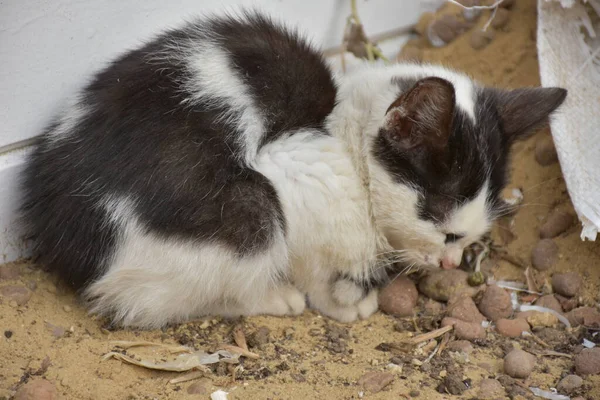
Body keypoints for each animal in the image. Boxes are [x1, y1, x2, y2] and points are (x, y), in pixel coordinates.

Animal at [21, 10, 568, 328]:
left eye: (471, 236)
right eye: (443, 226)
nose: (451, 264)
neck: (344, 134)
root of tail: (63, 240)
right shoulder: (292, 173)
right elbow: (315, 261)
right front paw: (341, 301)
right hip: (249, 211)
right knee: (146, 304)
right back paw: (272, 298)